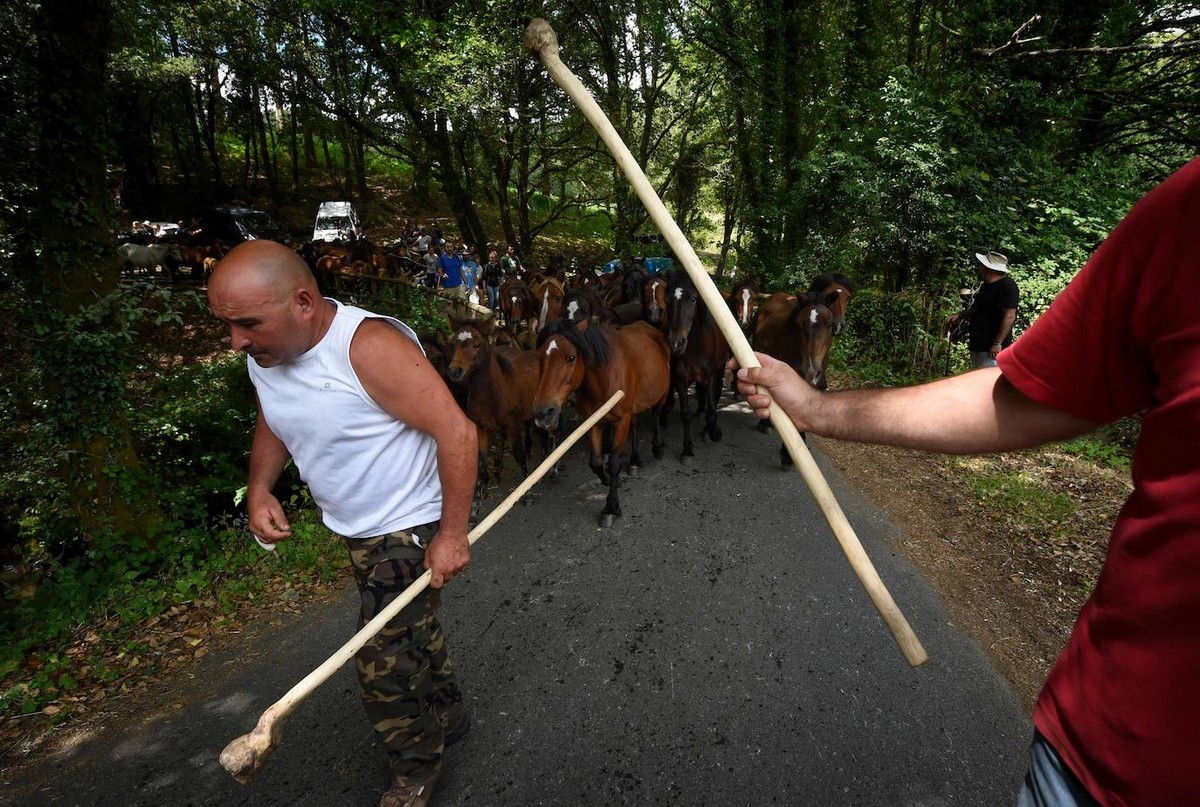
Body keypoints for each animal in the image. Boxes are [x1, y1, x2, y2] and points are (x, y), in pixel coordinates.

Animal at [532, 319, 672, 525]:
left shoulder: (621, 421)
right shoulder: (593, 421)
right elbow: (595, 462)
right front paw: (608, 480)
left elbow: (614, 462)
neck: (605, 376)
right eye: (539, 358)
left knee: (656, 415)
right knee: (635, 425)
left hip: (661, 395)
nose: (543, 413)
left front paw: (611, 507)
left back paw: (657, 447)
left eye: (571, 358)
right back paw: (634, 460)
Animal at [667, 269, 729, 463]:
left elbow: (712, 410)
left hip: (720, 368)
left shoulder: (710, 378)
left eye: (693, 298)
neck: (695, 348)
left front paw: (715, 432)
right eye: (667, 299)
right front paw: (687, 449)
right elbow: (685, 415)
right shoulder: (680, 381)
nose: (676, 343)